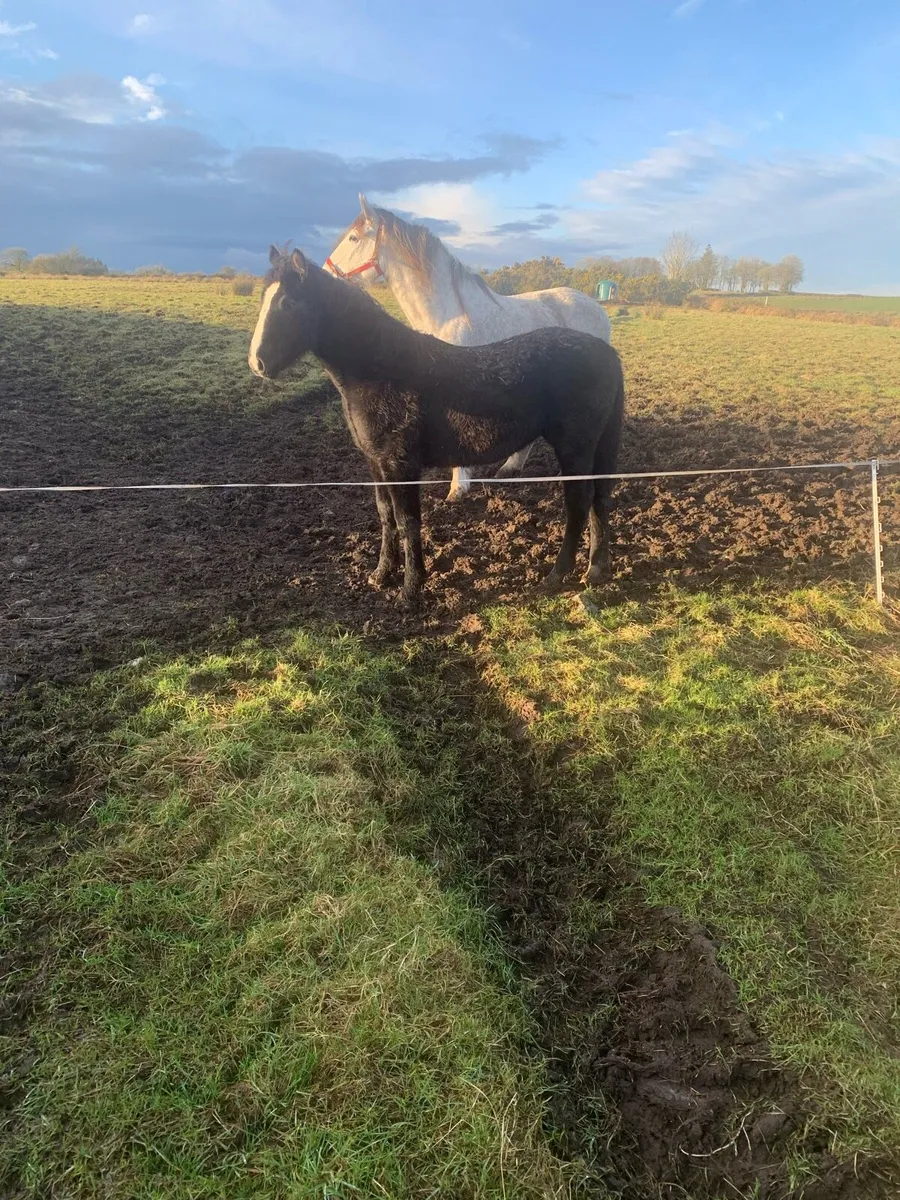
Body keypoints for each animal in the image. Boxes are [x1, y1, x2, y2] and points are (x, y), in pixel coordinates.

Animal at [248, 247, 624, 604]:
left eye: (288, 302)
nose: (257, 363)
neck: (382, 370)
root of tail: (608, 352)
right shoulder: (376, 463)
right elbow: (385, 516)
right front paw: (381, 574)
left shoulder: (401, 465)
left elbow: (408, 522)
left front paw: (410, 591)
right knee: (599, 498)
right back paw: (596, 569)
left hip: (575, 446)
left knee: (579, 502)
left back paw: (556, 576)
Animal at [324, 195, 613, 501]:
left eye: (354, 238)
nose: (324, 273)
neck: (448, 314)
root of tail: (598, 309)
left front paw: (457, 489)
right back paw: (510, 468)